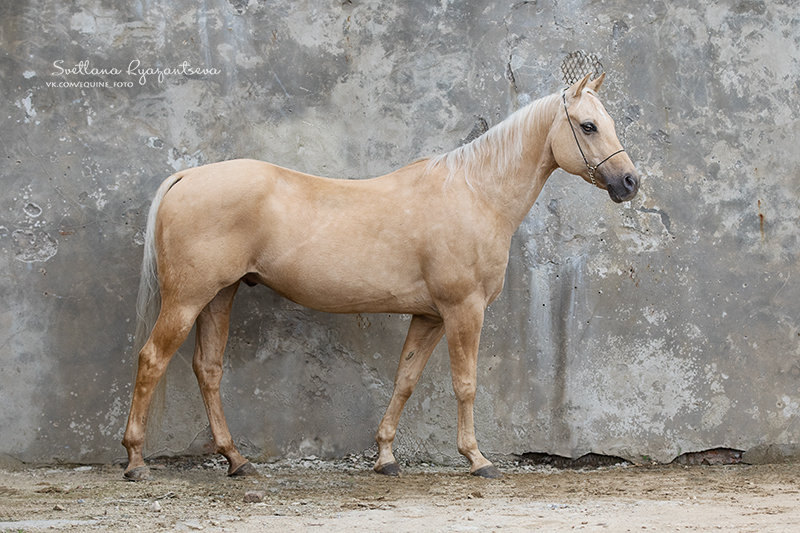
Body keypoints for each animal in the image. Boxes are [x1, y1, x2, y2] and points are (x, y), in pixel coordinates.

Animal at [122, 74, 640, 478]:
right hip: (187, 299)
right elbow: (465, 383)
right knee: (151, 360)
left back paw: (237, 461)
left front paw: (386, 457)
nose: (630, 182)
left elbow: (404, 379)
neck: (476, 194)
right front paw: (477, 459)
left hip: (219, 296)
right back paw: (136, 462)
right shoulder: (463, 310)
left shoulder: (429, 316)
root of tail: (188, 177)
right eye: (588, 125)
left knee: (207, 369)